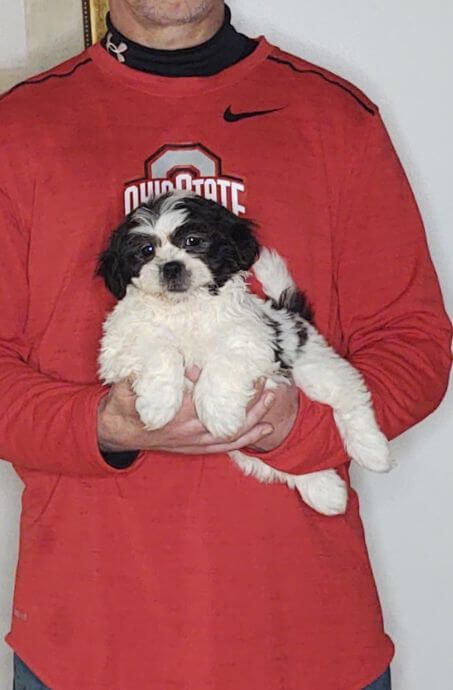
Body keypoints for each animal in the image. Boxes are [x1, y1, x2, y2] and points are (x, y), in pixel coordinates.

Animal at [96, 191, 392, 512]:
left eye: (194, 241)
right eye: (146, 250)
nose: (171, 267)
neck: (185, 309)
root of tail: (290, 314)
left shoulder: (252, 340)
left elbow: (224, 361)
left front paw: (219, 412)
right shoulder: (118, 347)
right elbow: (158, 349)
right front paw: (158, 405)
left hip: (313, 366)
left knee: (350, 397)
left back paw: (372, 451)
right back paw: (326, 490)